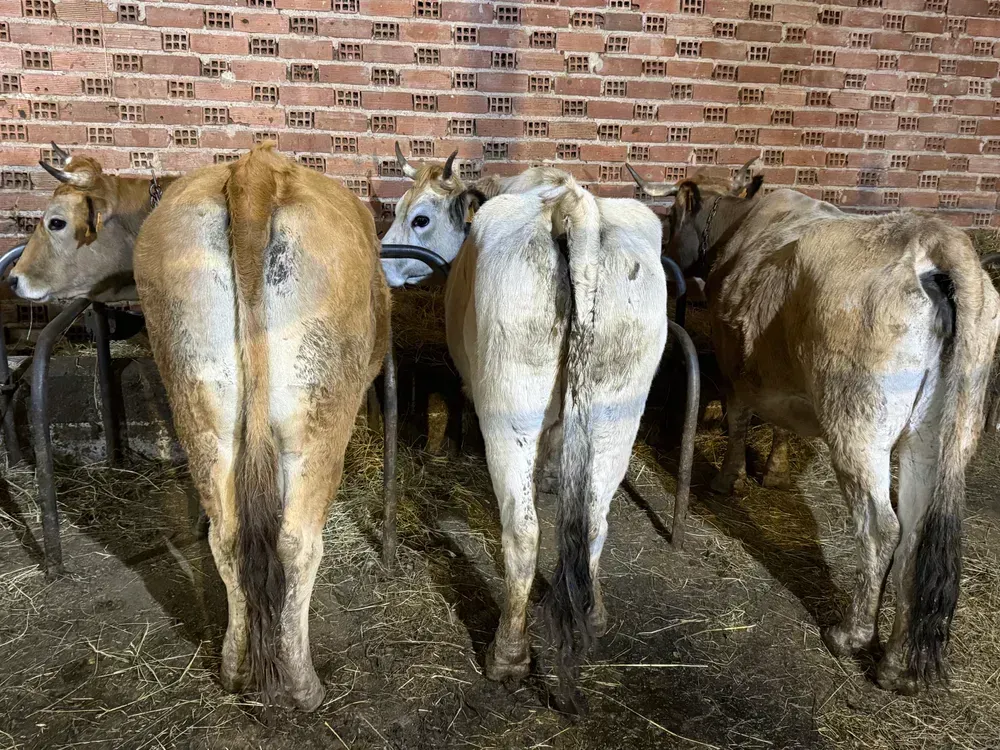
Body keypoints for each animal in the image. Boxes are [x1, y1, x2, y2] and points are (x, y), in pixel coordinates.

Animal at [133, 142, 390, 710]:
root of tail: (256, 169)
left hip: (201, 410)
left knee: (227, 537)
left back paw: (233, 670)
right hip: (318, 421)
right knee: (297, 541)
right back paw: (303, 685)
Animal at [383, 146, 668, 706]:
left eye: (419, 217)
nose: (381, 264)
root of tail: (571, 207)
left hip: (510, 406)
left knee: (523, 529)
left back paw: (508, 656)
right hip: (619, 409)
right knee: (595, 519)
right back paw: (593, 612)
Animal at [628, 162, 1000, 695]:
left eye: (674, 217)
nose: (668, 260)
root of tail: (938, 243)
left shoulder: (737, 361)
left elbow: (741, 419)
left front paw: (727, 479)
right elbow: (782, 425)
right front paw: (775, 472)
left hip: (858, 423)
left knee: (882, 527)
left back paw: (849, 634)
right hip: (938, 431)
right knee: (914, 534)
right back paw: (893, 666)